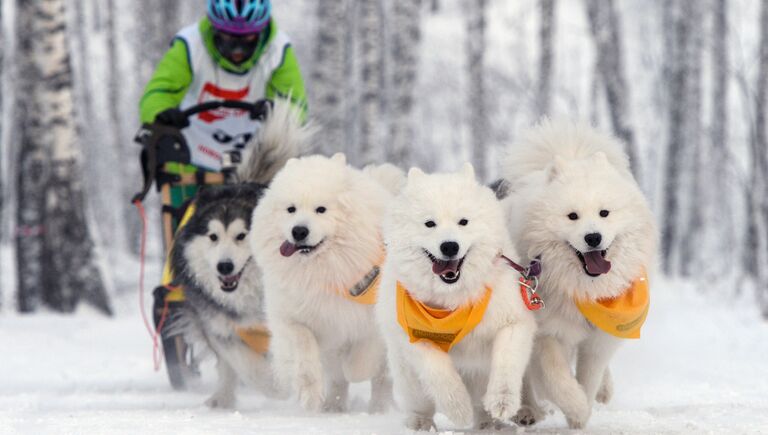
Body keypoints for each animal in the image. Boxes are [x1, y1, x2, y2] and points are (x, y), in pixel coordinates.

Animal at [249, 154, 400, 416]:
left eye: (321, 209)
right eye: (291, 209)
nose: (299, 231)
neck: (323, 272)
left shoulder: (369, 323)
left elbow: (361, 362)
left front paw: (355, 368)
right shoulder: (292, 318)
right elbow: (305, 351)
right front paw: (309, 395)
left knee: (381, 380)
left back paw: (379, 409)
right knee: (338, 380)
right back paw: (332, 407)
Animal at [376, 164, 536, 432]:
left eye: (463, 222)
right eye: (429, 223)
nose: (449, 246)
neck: (454, 299)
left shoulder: (512, 322)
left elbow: (506, 363)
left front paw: (502, 401)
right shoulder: (415, 337)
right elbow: (439, 372)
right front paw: (458, 410)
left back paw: (495, 421)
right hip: (408, 376)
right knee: (419, 401)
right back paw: (421, 422)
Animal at [500, 119, 656, 430]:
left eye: (604, 213)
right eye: (572, 216)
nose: (593, 237)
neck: (584, 288)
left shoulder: (599, 339)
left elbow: (589, 377)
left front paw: (581, 415)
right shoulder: (547, 333)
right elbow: (557, 379)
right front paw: (577, 409)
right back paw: (527, 411)